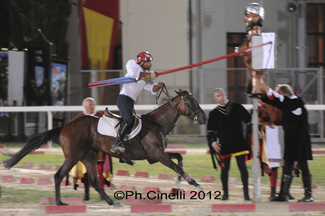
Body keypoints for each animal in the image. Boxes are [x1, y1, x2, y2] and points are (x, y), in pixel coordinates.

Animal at [3, 89, 205, 206]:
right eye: (191, 102)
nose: (203, 118)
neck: (157, 124)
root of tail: (66, 126)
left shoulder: (154, 156)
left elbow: (179, 158)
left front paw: (179, 182)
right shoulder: (156, 155)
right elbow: (177, 165)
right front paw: (194, 183)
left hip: (89, 156)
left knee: (93, 180)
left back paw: (111, 202)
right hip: (73, 156)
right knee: (58, 175)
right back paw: (60, 203)